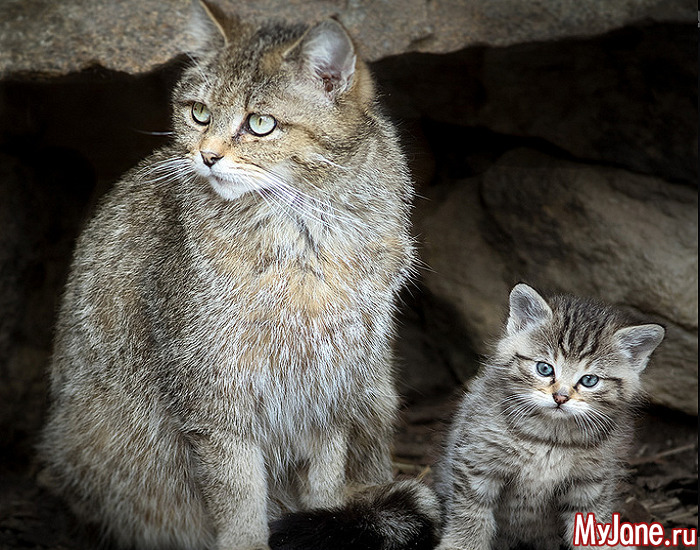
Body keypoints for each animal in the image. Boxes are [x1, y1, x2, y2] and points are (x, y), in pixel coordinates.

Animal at [38, 4, 412, 550]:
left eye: (260, 124)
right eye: (199, 113)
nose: (207, 155)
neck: (305, 236)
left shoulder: (330, 397)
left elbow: (324, 489)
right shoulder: (216, 401)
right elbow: (239, 506)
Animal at [434, 284, 664, 550]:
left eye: (589, 380)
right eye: (544, 368)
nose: (560, 397)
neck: (550, 437)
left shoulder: (591, 481)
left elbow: (591, 522)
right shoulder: (477, 460)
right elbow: (470, 511)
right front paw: (461, 543)